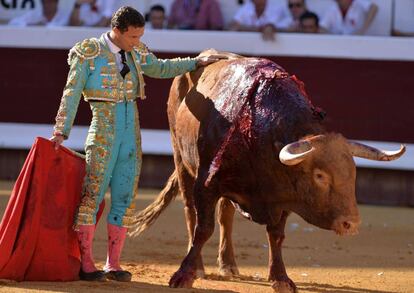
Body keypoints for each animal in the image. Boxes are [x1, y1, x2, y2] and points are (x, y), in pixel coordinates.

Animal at [130, 51, 404, 290]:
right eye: (319, 176)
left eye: (353, 173)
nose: (351, 224)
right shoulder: (207, 183)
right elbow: (203, 228)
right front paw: (183, 275)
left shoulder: (283, 195)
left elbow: (276, 235)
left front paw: (280, 278)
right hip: (182, 160)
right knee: (190, 211)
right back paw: (198, 267)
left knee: (225, 215)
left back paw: (228, 264)